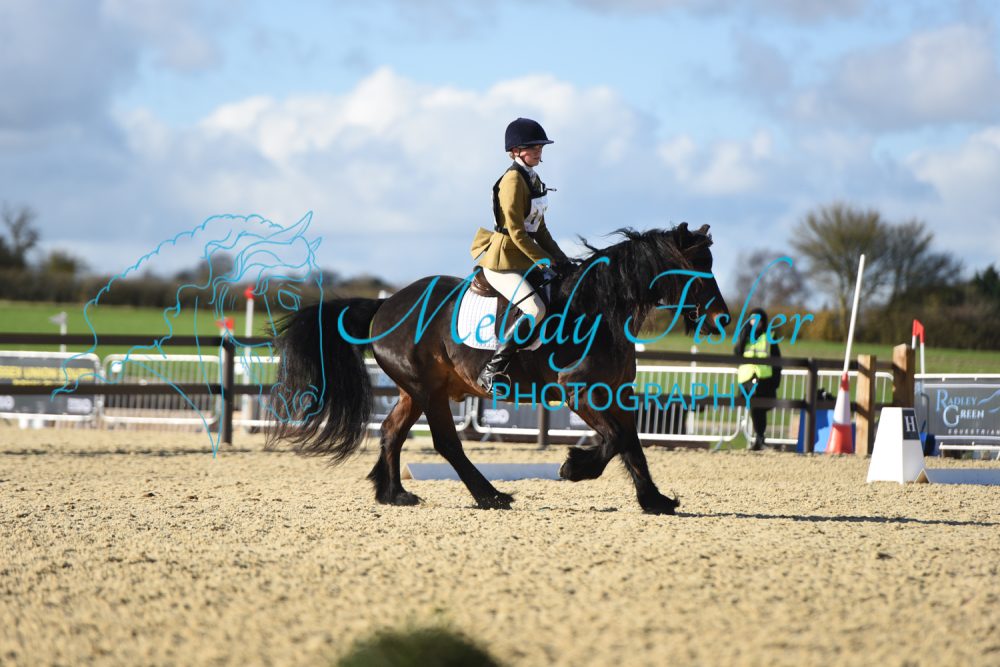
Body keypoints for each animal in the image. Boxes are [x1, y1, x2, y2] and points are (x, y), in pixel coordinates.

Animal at [269, 223, 729, 514]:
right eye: (696, 269)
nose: (720, 319)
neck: (600, 309)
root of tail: (385, 305)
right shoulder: (578, 391)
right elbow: (615, 438)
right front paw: (574, 468)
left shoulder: (617, 391)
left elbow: (632, 443)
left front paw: (654, 501)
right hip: (429, 390)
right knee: (446, 444)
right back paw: (490, 497)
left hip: (413, 391)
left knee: (391, 432)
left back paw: (394, 494)